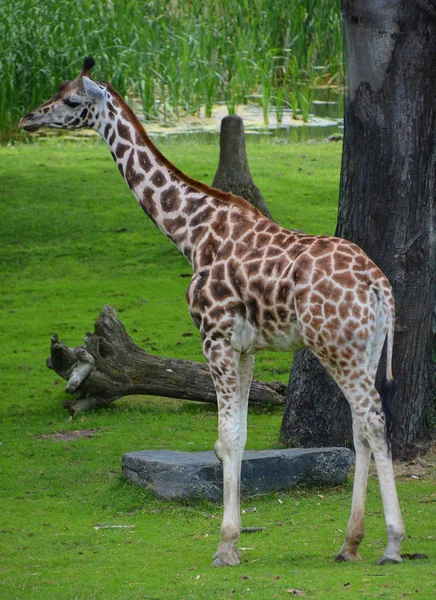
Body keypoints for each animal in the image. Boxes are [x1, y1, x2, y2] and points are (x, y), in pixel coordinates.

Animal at [19, 57, 406, 568]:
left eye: (70, 100)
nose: (27, 119)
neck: (191, 233)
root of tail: (378, 284)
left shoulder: (214, 336)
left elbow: (226, 439)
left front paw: (225, 546)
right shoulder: (245, 349)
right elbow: (236, 438)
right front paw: (233, 541)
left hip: (336, 346)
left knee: (374, 420)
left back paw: (393, 543)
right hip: (364, 346)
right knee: (362, 426)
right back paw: (349, 543)